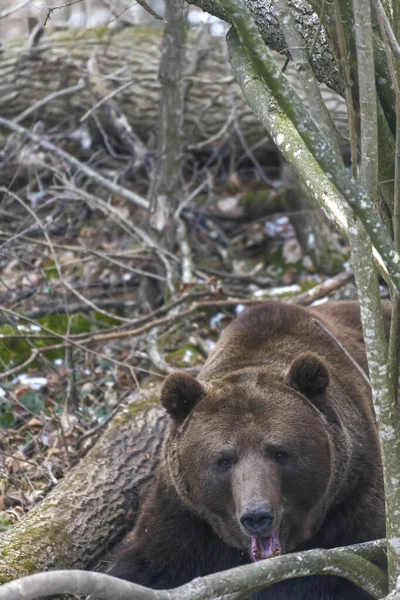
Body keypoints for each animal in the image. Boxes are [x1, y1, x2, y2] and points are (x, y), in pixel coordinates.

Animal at [91, 302, 388, 596]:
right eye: (224, 460)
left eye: (280, 453)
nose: (257, 515)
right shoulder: (183, 515)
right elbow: (144, 565)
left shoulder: (354, 499)